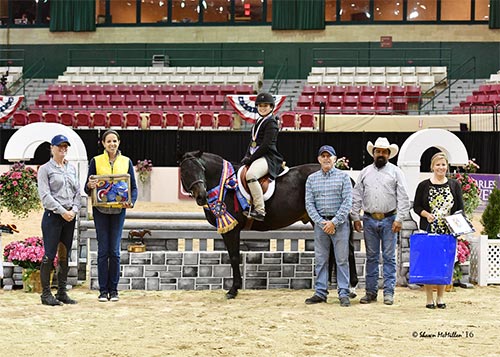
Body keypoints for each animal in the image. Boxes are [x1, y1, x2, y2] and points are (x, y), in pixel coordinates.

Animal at [180, 150, 318, 298]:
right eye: (184, 172)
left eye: (202, 169)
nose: (202, 196)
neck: (223, 184)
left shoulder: (232, 229)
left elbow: (234, 257)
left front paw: (233, 290)